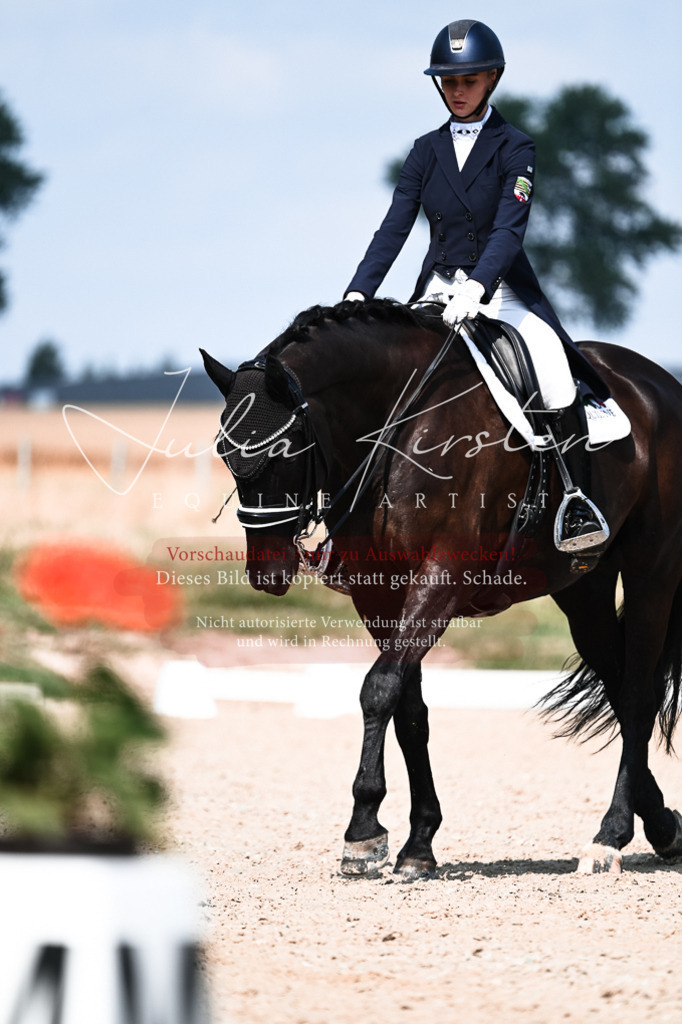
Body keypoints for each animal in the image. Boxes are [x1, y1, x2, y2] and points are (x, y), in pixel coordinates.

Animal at [201, 298, 682, 878]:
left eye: (283, 450)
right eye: (224, 452)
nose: (266, 574)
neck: (396, 427)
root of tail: (660, 382)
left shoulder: (443, 577)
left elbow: (378, 689)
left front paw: (362, 832)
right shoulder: (381, 594)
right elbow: (409, 709)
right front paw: (418, 843)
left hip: (653, 570)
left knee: (637, 692)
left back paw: (610, 835)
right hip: (582, 588)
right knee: (618, 685)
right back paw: (661, 827)